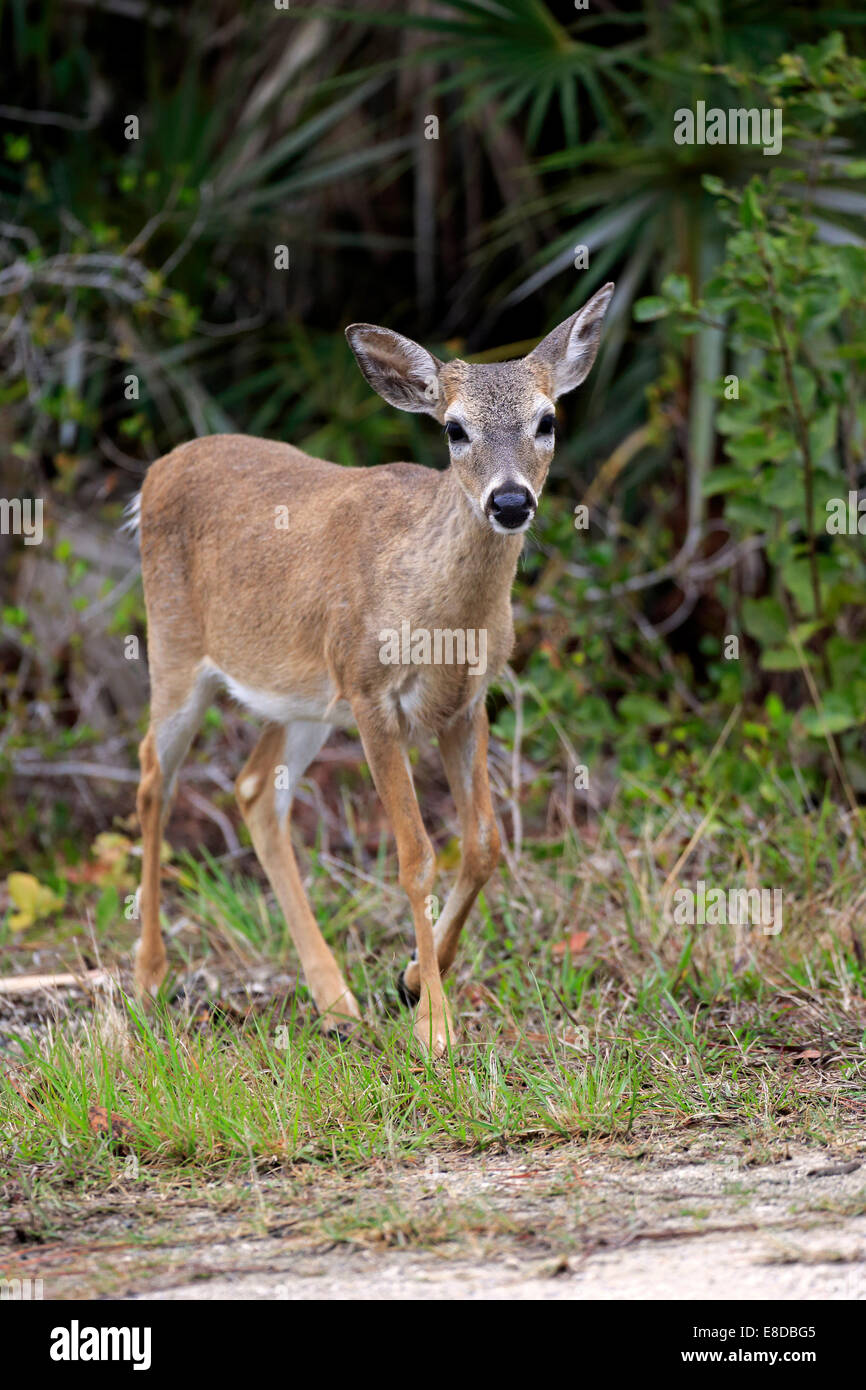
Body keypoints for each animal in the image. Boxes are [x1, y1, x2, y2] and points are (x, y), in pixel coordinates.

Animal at [130, 287, 617, 1056]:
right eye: (454, 429)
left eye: (547, 420)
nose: (511, 501)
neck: (441, 618)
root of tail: (156, 470)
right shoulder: (370, 695)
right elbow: (417, 857)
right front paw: (436, 1027)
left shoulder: (467, 702)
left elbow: (485, 844)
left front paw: (414, 978)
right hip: (177, 652)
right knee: (154, 775)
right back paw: (151, 976)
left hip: (303, 698)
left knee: (253, 790)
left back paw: (336, 1000)